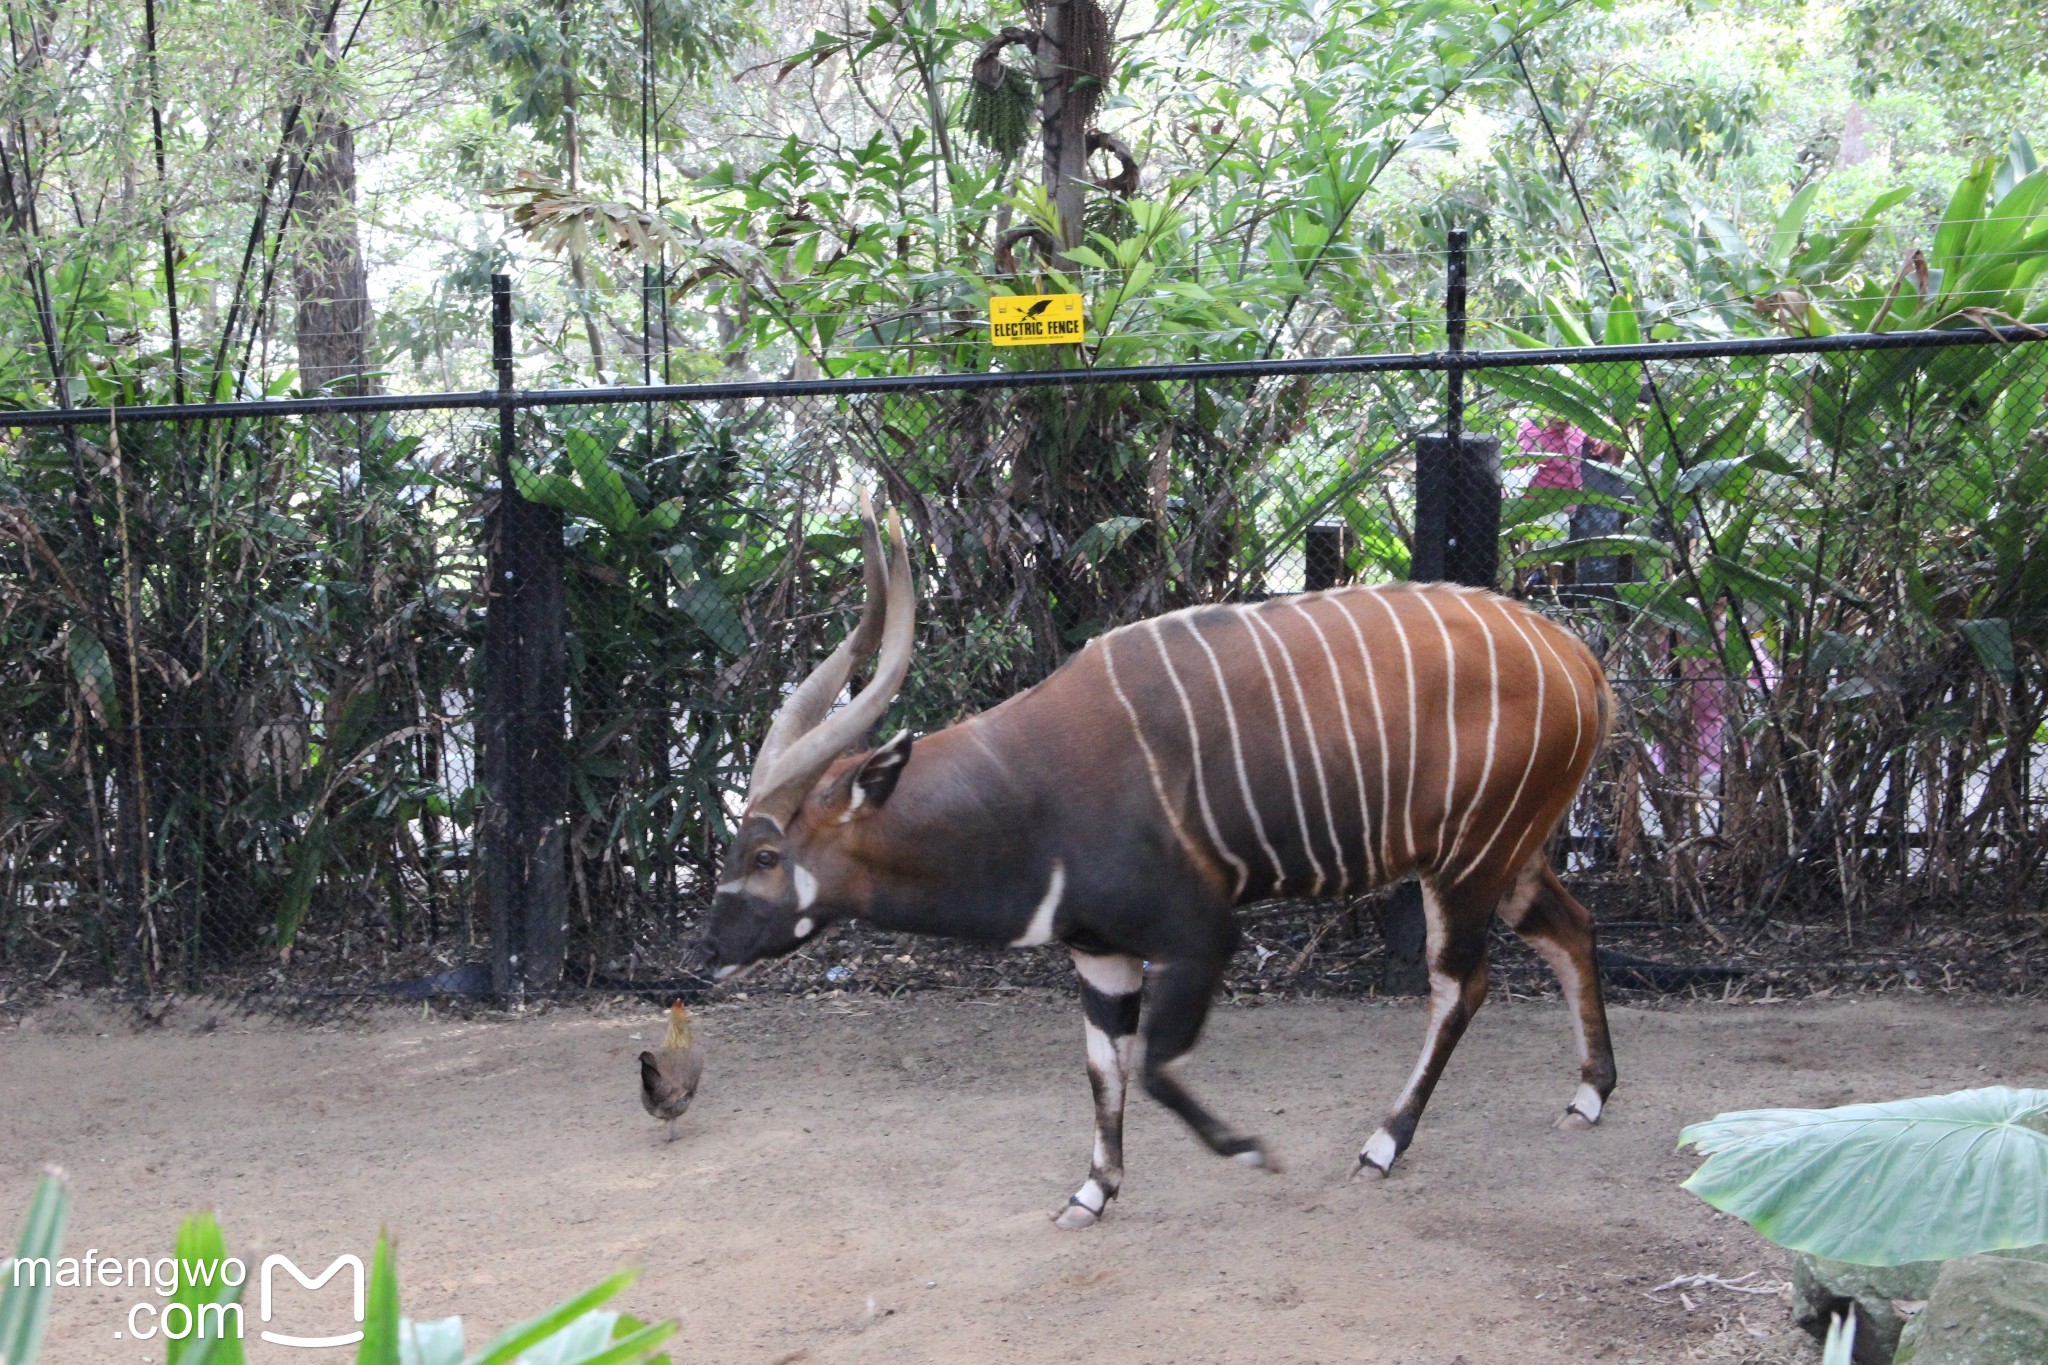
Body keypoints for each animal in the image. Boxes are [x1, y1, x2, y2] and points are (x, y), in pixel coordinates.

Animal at [696, 493, 1622, 1227]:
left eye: (768, 852)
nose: (708, 946)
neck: (1031, 791)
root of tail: (1578, 658)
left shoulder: (1199, 934)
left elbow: (1154, 1069)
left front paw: (1249, 1148)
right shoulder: (1099, 954)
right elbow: (1105, 1069)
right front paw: (1090, 1194)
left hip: (1467, 860)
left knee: (1462, 984)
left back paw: (1384, 1143)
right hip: (1510, 854)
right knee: (1573, 927)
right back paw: (1588, 1095)